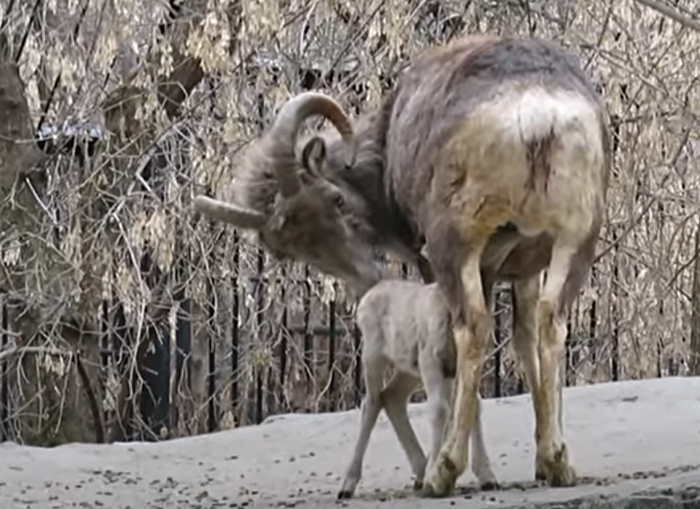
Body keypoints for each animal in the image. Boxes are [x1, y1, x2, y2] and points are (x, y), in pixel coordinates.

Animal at [338, 276, 498, 498]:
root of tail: (363, 303)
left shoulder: (459, 364)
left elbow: (473, 404)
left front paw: (488, 478)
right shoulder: (430, 358)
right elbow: (440, 409)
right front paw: (435, 478)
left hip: (409, 369)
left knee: (391, 396)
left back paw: (421, 472)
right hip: (373, 355)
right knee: (371, 402)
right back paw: (347, 486)